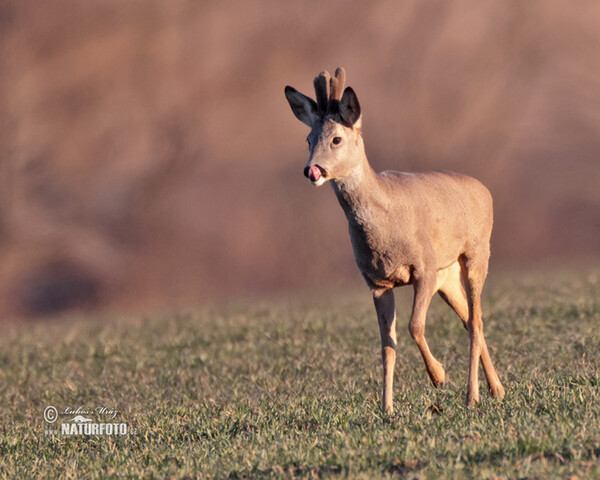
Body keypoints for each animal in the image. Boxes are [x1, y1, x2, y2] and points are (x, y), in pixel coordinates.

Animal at [286, 67, 506, 412]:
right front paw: (387, 408)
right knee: (469, 319)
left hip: (476, 254)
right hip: (447, 276)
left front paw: (439, 376)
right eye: (308, 139)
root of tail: (484, 189)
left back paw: (473, 395)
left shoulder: (424, 267)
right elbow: (386, 344)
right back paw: (497, 389)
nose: (312, 170)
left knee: (477, 320)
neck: (384, 223)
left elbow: (414, 326)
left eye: (336, 139)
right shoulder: (377, 282)